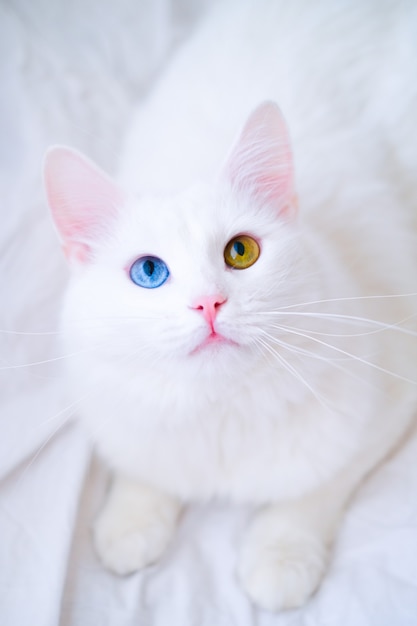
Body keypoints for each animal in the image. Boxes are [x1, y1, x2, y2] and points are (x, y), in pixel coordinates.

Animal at [42, 0, 416, 612]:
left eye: (241, 252)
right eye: (149, 272)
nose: (208, 304)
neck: (219, 414)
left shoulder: (388, 403)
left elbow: (311, 492)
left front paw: (279, 559)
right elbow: (142, 467)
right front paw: (128, 525)